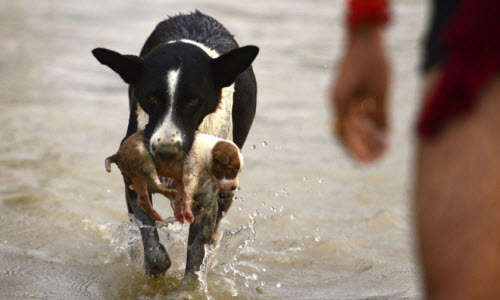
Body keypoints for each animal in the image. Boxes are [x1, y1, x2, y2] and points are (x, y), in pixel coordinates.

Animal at [106, 131, 243, 223]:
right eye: (231, 170)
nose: (234, 187)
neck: (208, 151)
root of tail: (118, 154)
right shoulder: (190, 173)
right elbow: (188, 194)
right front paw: (187, 212)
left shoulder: (180, 179)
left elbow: (182, 195)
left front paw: (179, 211)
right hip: (144, 158)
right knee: (153, 183)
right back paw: (169, 192)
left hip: (136, 177)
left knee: (143, 197)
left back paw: (156, 214)